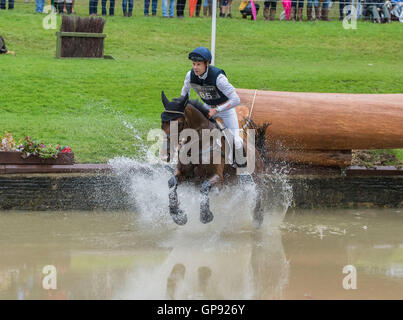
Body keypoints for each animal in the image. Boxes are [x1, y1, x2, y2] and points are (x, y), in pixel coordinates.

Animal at [161, 90, 272, 228]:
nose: (166, 153)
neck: (199, 144)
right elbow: (171, 183)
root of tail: (256, 151)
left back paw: (257, 220)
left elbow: (204, 187)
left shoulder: (218, 179)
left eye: (180, 123)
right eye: (162, 123)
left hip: (256, 180)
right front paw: (178, 216)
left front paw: (205, 216)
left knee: (258, 196)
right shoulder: (185, 175)